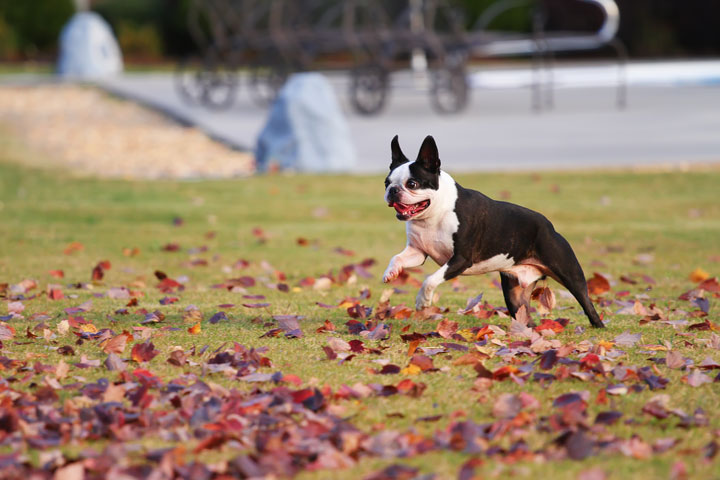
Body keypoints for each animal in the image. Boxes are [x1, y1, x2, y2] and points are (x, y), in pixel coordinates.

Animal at [380, 136, 604, 330]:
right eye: (386, 182)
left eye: (412, 184)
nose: (393, 191)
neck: (434, 214)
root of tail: (550, 226)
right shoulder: (418, 252)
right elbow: (396, 258)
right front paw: (391, 272)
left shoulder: (460, 259)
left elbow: (430, 279)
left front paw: (422, 301)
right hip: (514, 293)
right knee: (523, 314)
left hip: (570, 273)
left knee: (587, 303)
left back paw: (598, 326)